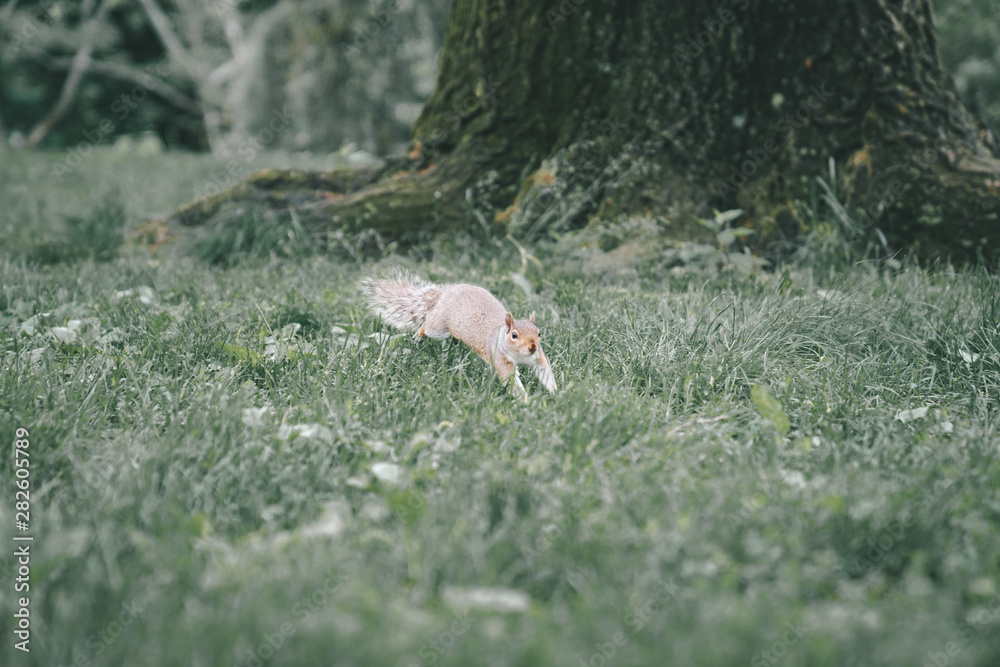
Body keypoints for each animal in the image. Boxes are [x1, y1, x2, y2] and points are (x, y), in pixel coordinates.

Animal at [362, 269, 557, 399]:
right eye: (514, 335)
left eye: (539, 333)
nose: (532, 347)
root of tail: (447, 294)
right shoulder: (500, 359)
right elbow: (511, 381)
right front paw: (527, 402)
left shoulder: (537, 358)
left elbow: (545, 372)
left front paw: (557, 394)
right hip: (438, 327)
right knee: (429, 322)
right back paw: (420, 333)